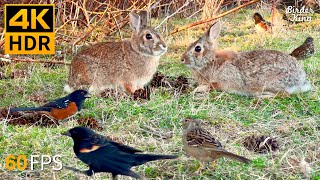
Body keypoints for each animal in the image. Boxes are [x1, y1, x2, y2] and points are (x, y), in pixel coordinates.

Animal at [181, 21, 312, 97]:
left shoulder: (222, 81)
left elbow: (212, 86)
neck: (210, 61)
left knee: (283, 94)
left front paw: (198, 89)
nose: (182, 59)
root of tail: (301, 79)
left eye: (197, 48)